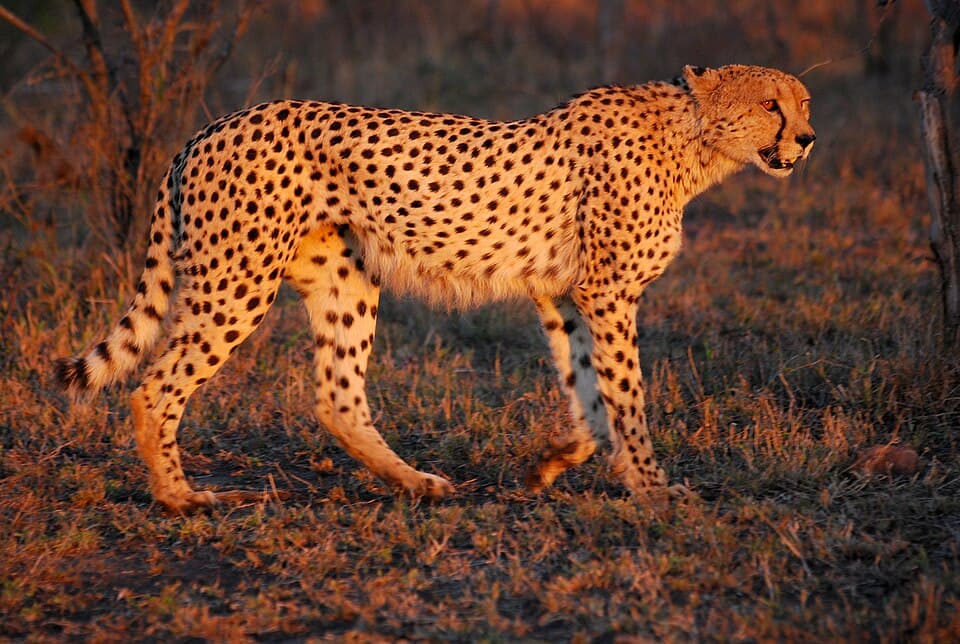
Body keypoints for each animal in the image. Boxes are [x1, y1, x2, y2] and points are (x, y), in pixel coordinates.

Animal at [56, 64, 814, 513]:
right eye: (769, 104)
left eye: (803, 103)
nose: (807, 139)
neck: (695, 141)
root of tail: (210, 127)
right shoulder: (606, 293)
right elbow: (627, 396)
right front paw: (654, 489)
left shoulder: (563, 296)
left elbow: (590, 394)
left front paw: (554, 463)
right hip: (236, 283)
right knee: (155, 388)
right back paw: (179, 498)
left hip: (346, 279)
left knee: (336, 397)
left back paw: (416, 483)